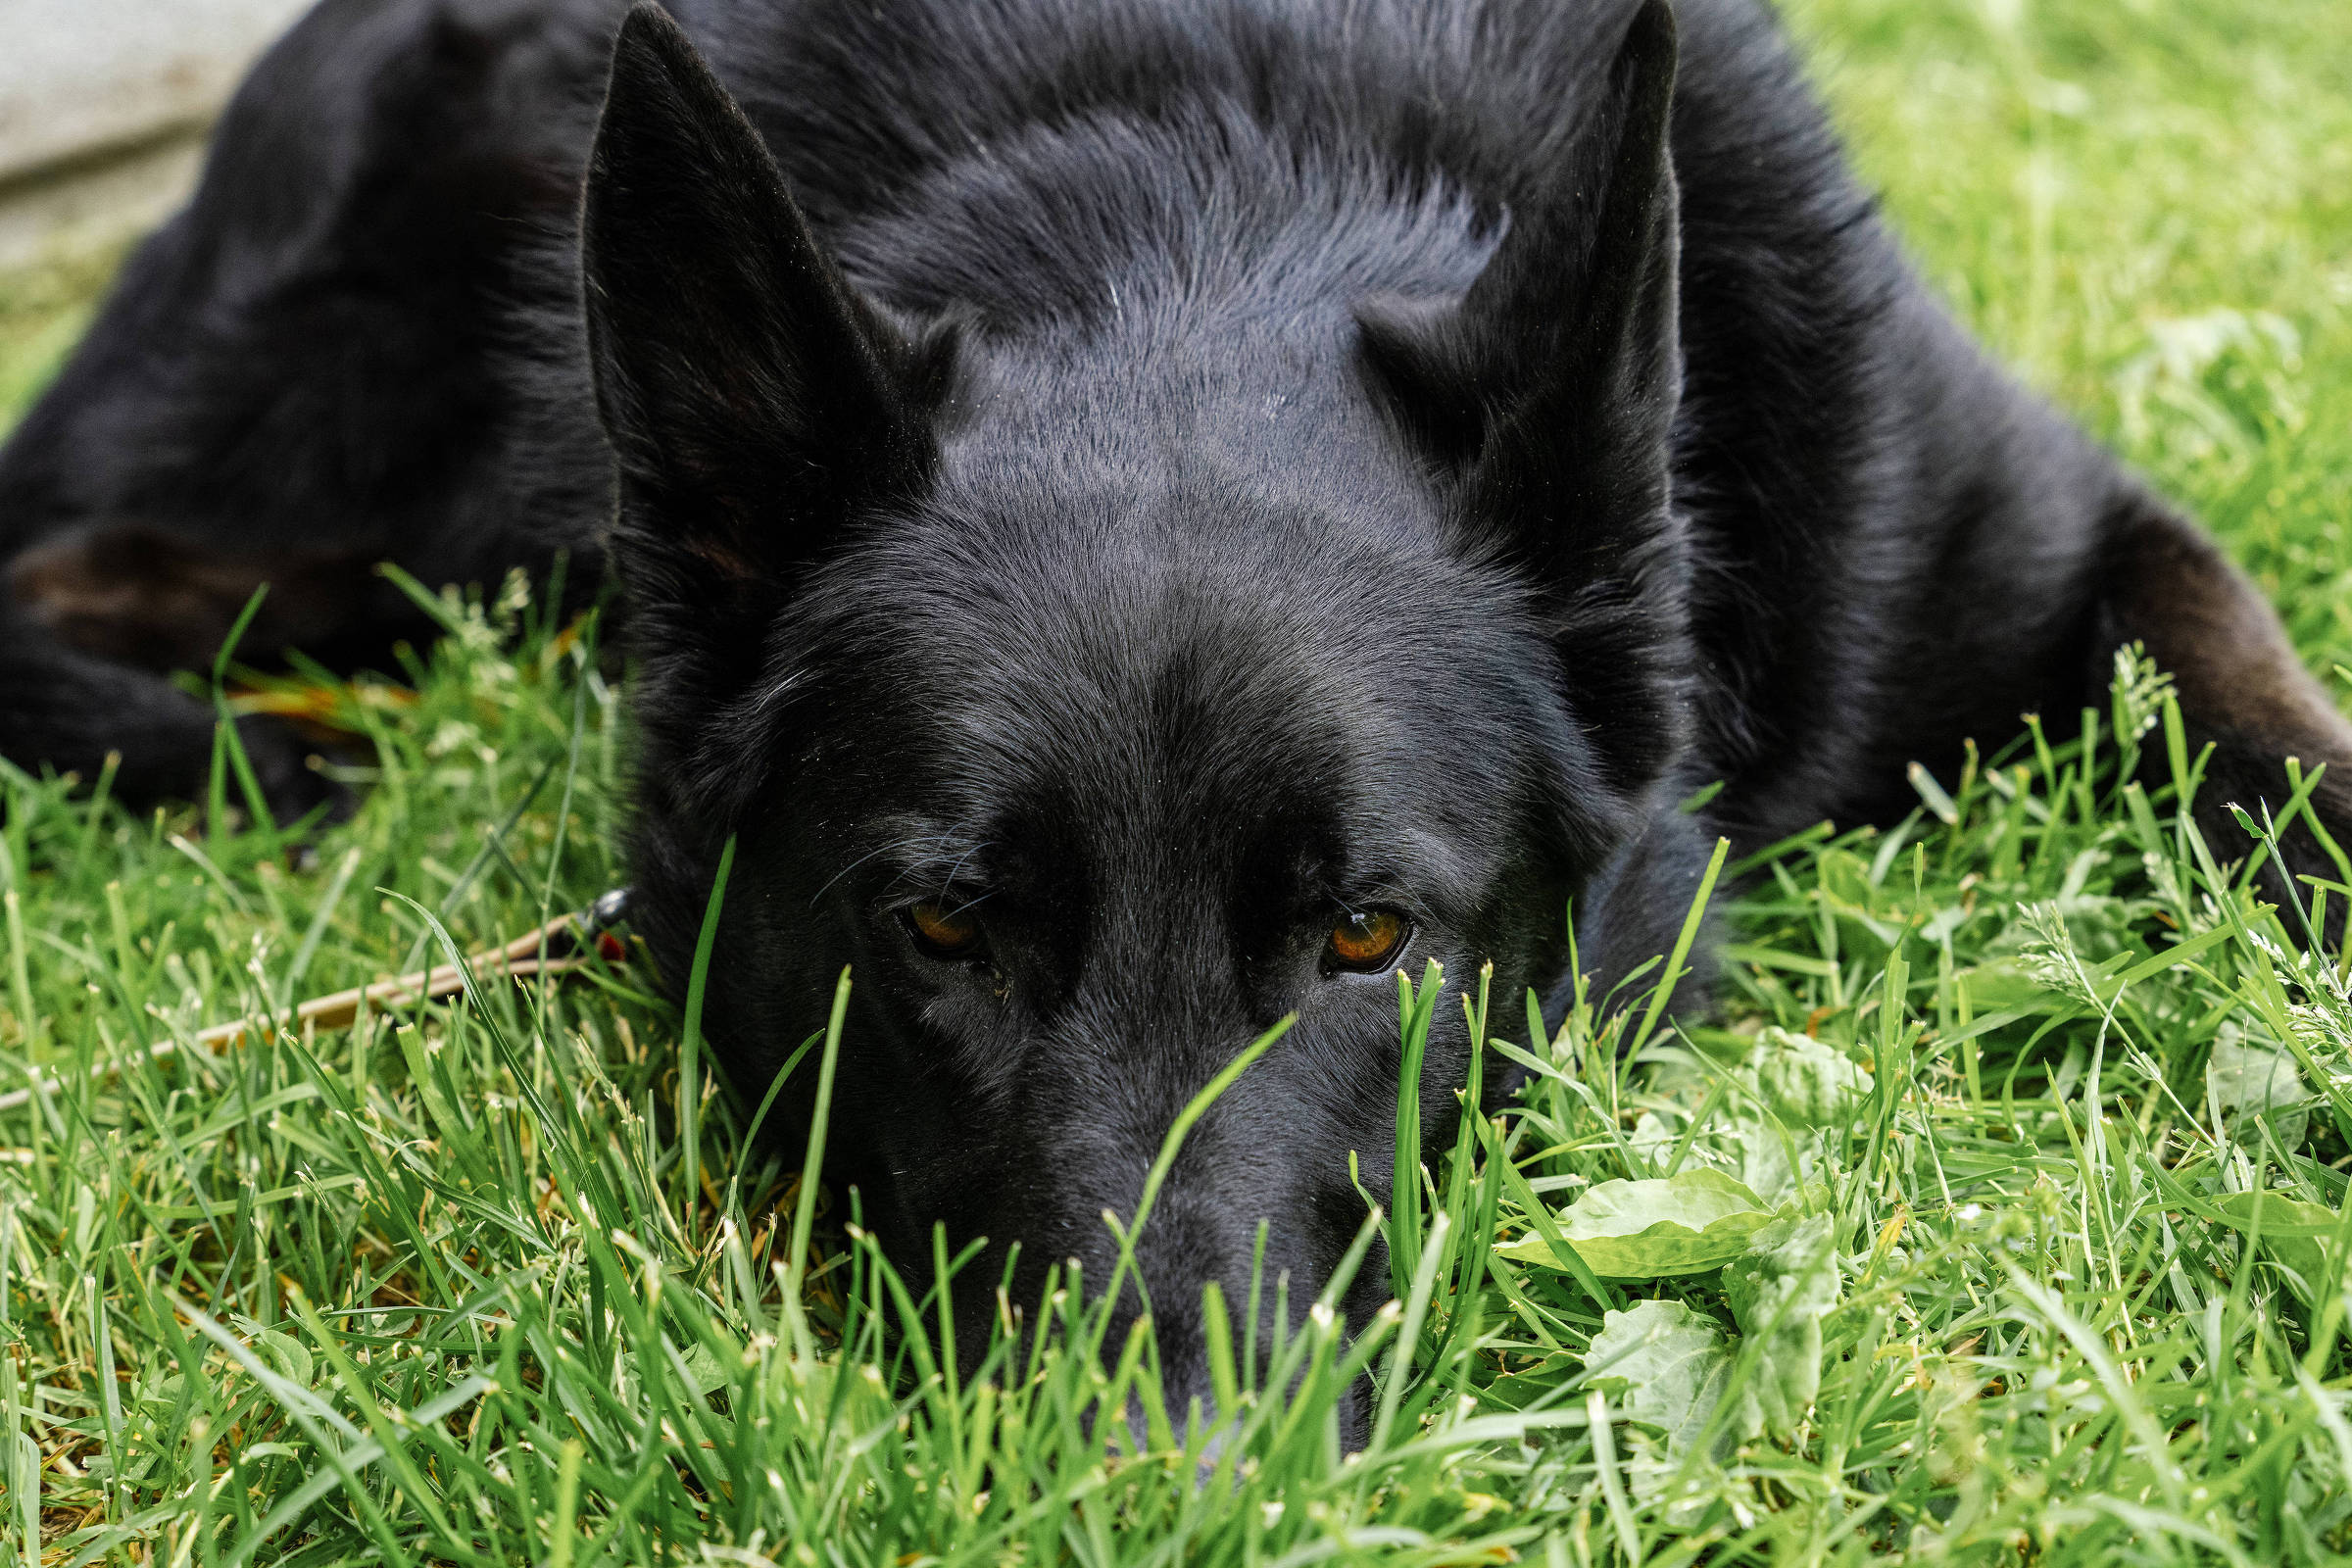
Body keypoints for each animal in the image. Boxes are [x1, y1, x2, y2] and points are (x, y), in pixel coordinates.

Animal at [4, 0, 2352, 1429]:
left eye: (1369, 935)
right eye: (939, 929)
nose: (1152, 1469)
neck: (1217, 201)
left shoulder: (2053, 538)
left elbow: (2272, 729)